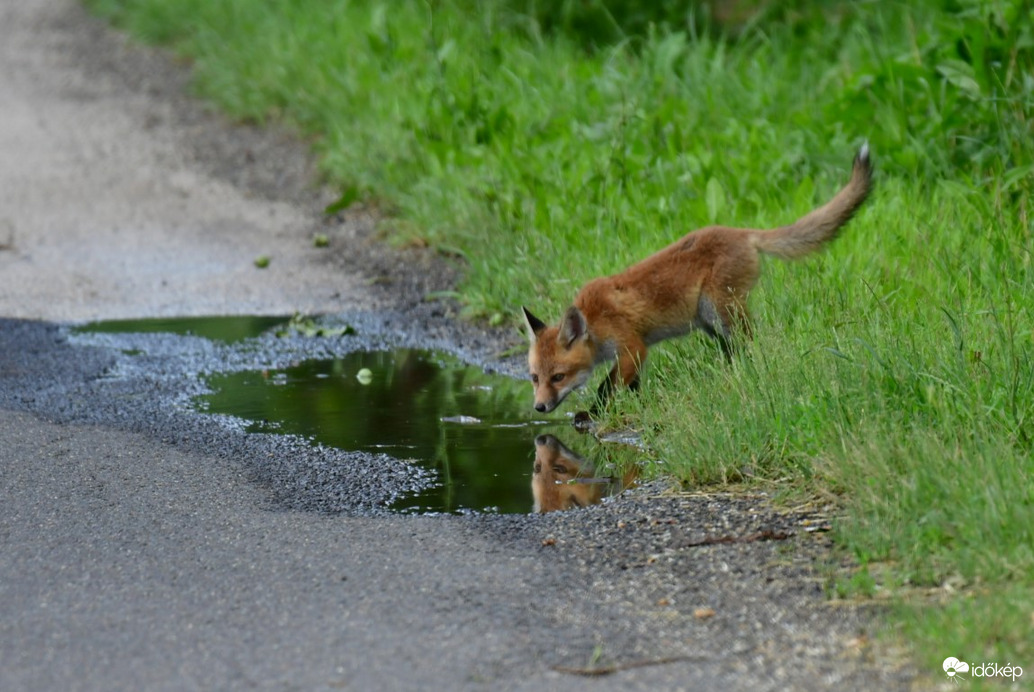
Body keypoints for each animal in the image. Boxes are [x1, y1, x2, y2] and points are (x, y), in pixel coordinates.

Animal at [521, 140, 868, 409]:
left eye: (558, 377)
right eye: (535, 377)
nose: (539, 407)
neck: (594, 321)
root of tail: (742, 232)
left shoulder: (632, 346)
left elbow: (607, 387)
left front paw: (592, 414)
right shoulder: (632, 356)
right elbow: (629, 386)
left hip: (722, 310)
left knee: (750, 345)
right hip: (709, 321)